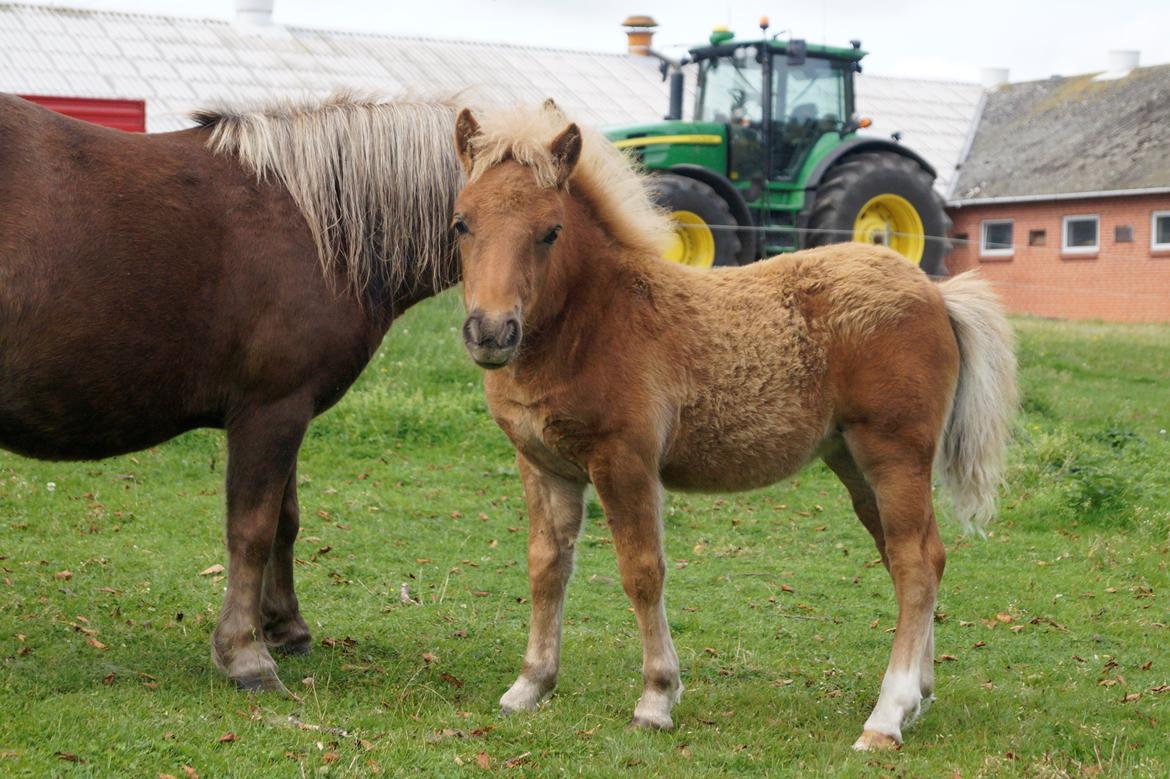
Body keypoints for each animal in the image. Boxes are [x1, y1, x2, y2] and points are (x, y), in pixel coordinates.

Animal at [0, 92, 460, 692]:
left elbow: (286, 522)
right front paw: (245, 654)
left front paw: (285, 629)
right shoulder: (270, 412)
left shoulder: (290, 410)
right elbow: (253, 530)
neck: (319, 226)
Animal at [446, 102, 1015, 748]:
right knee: (917, 554)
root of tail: (936, 293)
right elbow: (547, 567)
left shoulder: (625, 461)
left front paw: (656, 699)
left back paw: (886, 717)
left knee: (915, 563)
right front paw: (530, 685)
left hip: (895, 453)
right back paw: (918, 695)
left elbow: (642, 571)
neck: (594, 320)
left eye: (551, 231)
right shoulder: (543, 464)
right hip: (854, 462)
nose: (491, 333)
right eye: (461, 224)